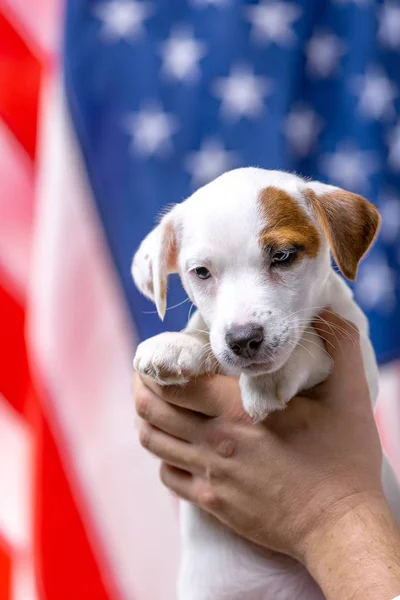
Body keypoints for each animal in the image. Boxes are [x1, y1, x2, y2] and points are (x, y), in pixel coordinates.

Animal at [131, 168, 400, 600]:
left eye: (283, 256)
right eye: (201, 272)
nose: (243, 340)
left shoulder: (361, 354)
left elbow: (309, 343)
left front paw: (273, 375)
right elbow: (203, 333)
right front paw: (178, 344)